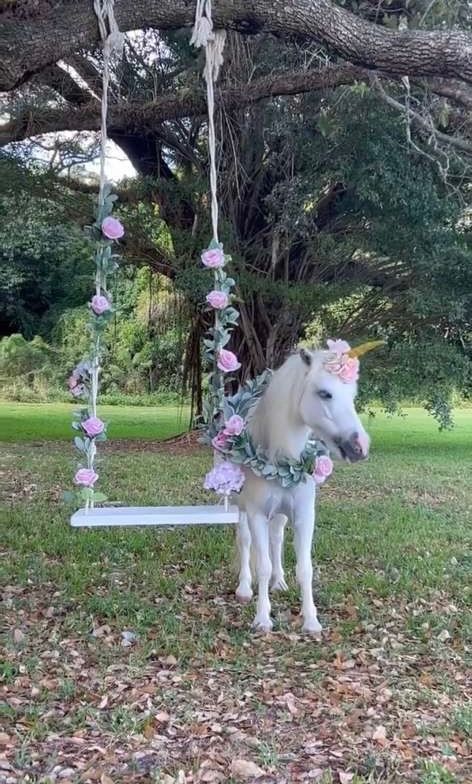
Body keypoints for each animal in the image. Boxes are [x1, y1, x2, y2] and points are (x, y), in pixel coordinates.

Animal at [235, 346, 370, 634]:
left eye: (352, 395)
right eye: (325, 393)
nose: (360, 447)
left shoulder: (304, 516)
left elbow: (304, 568)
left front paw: (311, 621)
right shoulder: (256, 514)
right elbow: (262, 565)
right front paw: (262, 618)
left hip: (280, 515)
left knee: (276, 538)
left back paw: (279, 582)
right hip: (237, 505)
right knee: (245, 541)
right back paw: (244, 588)